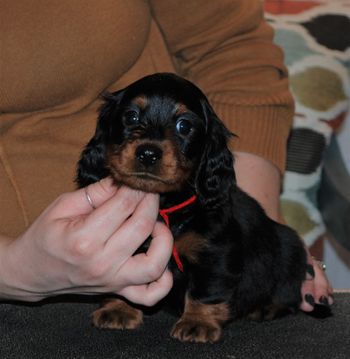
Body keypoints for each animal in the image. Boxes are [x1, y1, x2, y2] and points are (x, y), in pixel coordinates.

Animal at [76, 72, 306, 344]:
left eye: (184, 126)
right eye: (131, 116)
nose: (148, 153)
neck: (167, 209)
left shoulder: (214, 254)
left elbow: (205, 290)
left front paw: (198, 323)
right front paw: (118, 309)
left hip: (290, 252)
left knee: (289, 294)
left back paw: (265, 307)